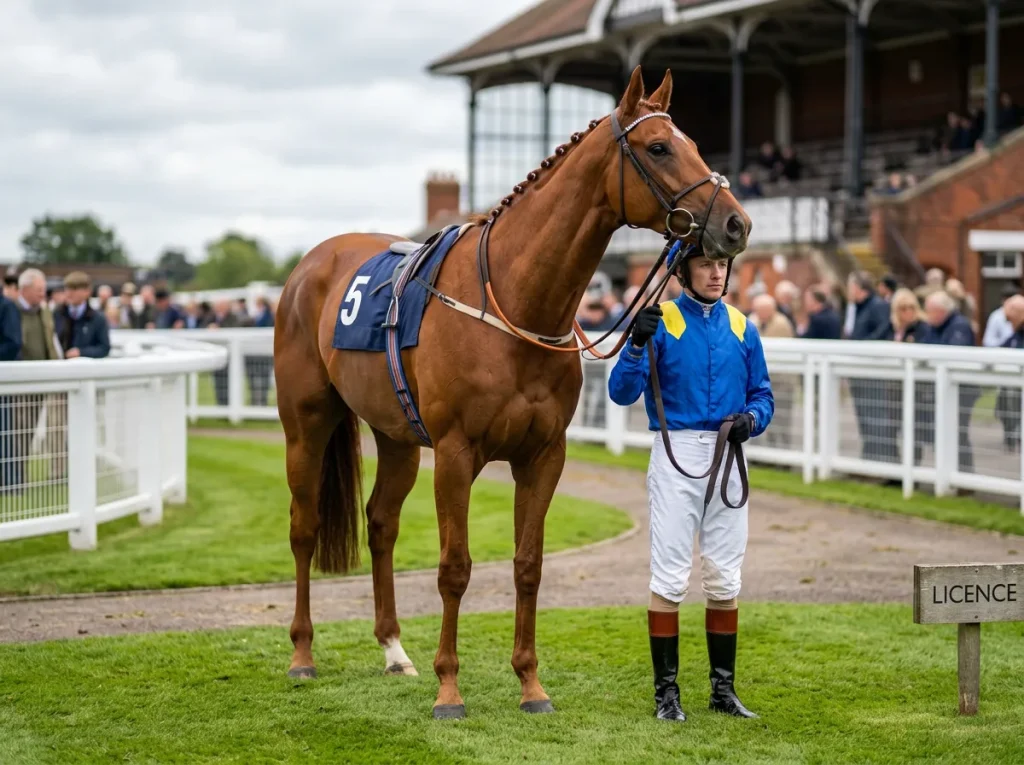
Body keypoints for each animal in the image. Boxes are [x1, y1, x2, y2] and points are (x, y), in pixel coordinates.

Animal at [272, 65, 751, 719]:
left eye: (697, 145)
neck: (514, 302)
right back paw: (302, 655)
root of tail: (311, 264)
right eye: (658, 147)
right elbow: (454, 568)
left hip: (396, 437)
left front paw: (530, 684)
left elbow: (527, 565)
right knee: (304, 527)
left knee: (381, 524)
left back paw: (394, 650)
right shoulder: (455, 454)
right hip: (307, 424)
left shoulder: (543, 455)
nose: (736, 224)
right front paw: (450, 691)